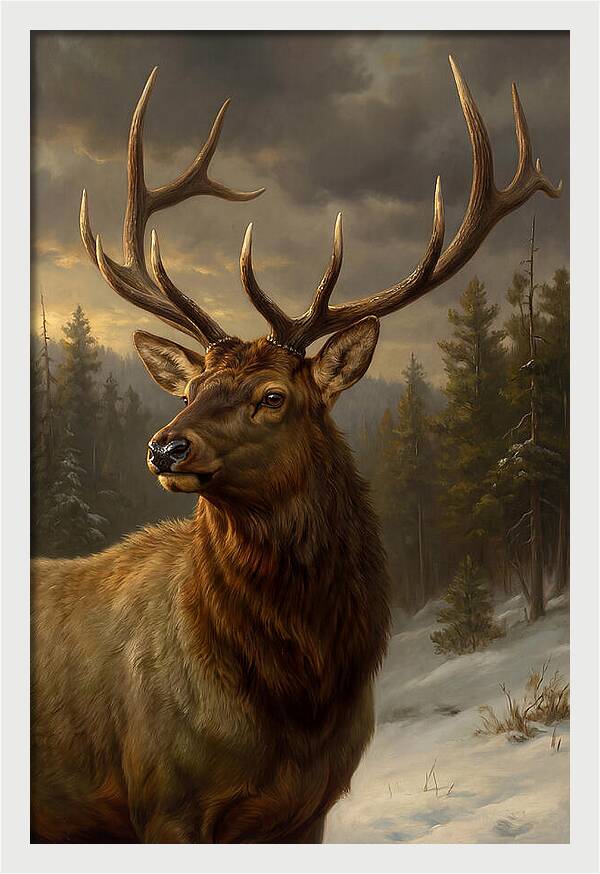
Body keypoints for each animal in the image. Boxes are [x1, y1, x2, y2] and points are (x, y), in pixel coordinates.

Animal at [30, 57, 561, 843]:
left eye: (274, 396)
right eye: (191, 387)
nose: (164, 447)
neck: (296, 701)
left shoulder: (308, 807)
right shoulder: (162, 799)